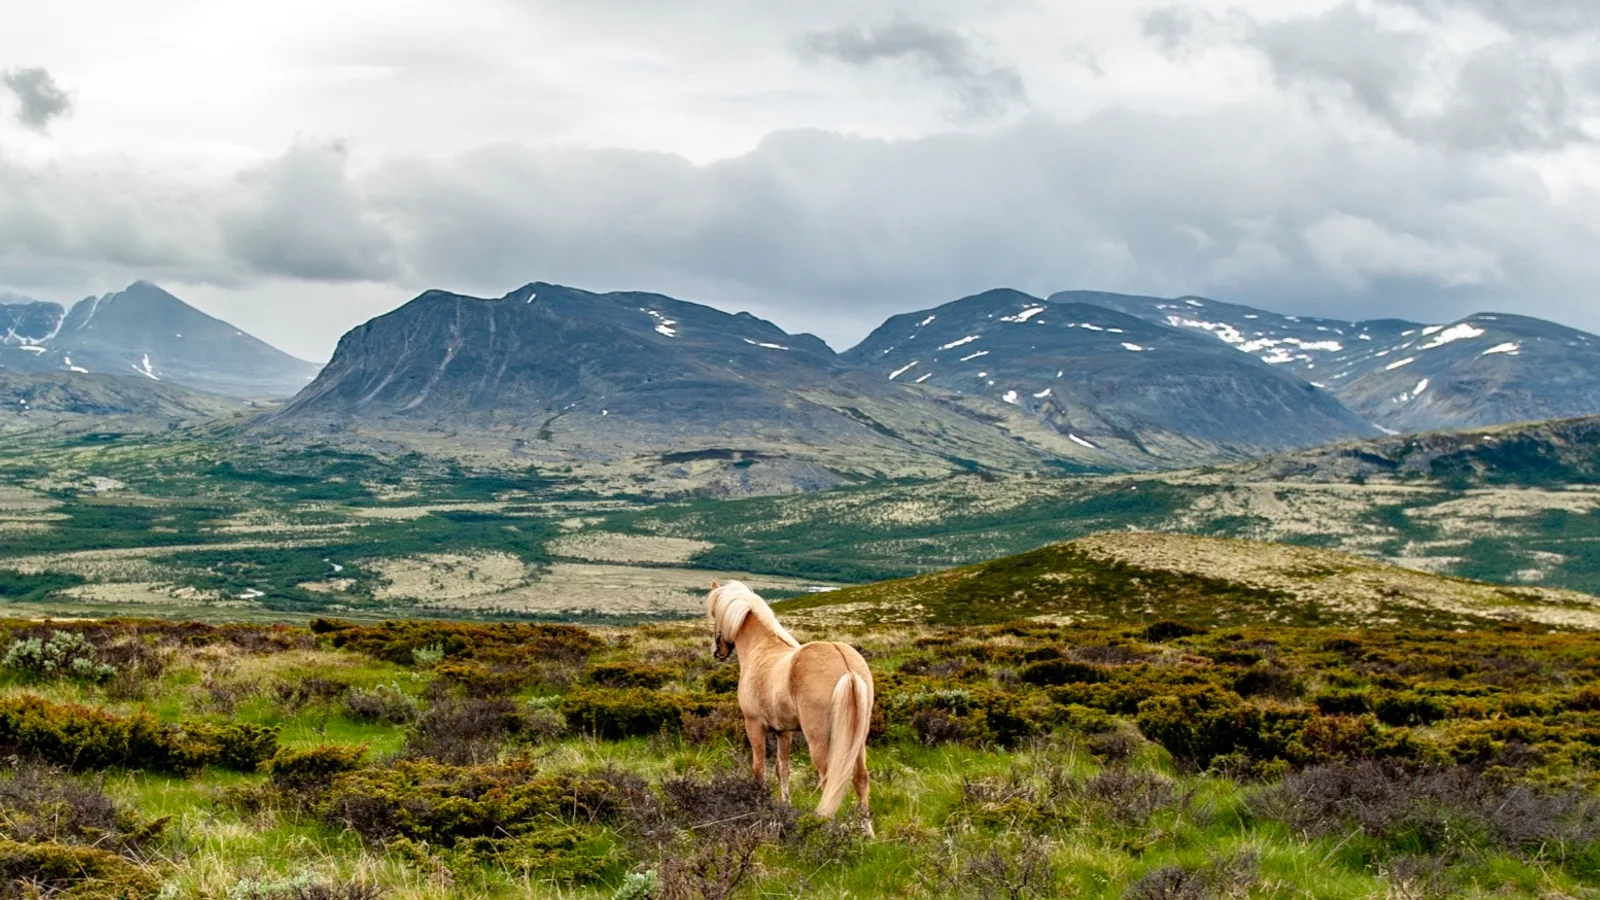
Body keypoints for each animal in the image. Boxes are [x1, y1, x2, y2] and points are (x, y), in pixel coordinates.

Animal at [707, 579, 874, 833]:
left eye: (715, 614)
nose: (718, 652)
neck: (761, 647)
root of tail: (846, 666)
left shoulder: (754, 725)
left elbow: (759, 770)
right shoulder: (783, 731)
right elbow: (782, 769)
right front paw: (784, 805)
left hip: (819, 740)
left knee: (829, 780)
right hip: (858, 740)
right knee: (861, 778)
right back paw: (867, 832)